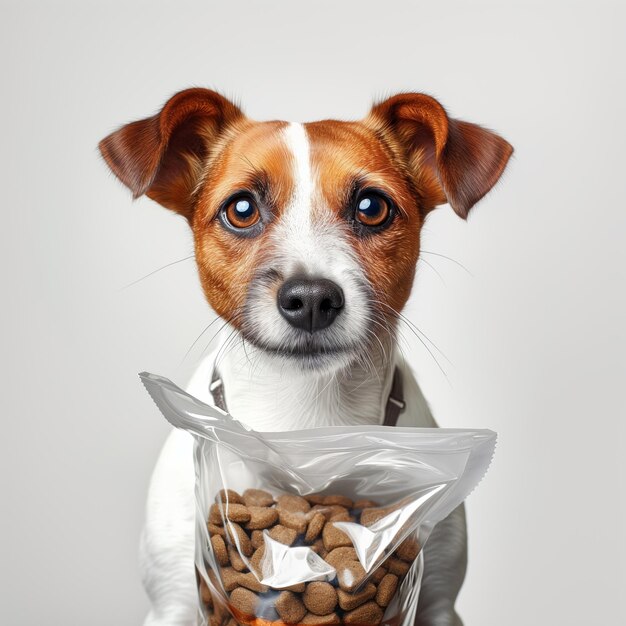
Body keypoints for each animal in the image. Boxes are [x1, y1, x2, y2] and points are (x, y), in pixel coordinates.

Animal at [100, 89, 512, 624]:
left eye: (371, 206)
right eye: (241, 208)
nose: (312, 298)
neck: (307, 422)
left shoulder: (439, 603)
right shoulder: (172, 605)